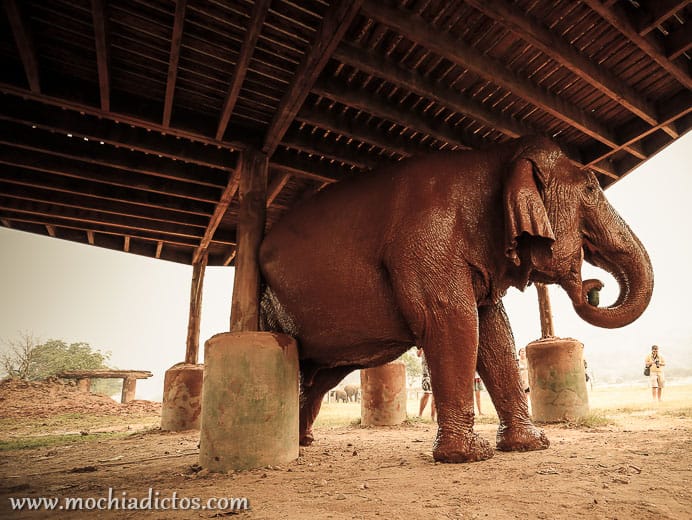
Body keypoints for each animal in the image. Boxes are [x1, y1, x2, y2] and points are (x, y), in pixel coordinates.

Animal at [259, 136, 653, 463]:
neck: (493, 157)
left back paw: (303, 442)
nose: (593, 289)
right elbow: (453, 320)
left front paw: (531, 445)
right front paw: (468, 455)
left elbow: (495, 331)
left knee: (320, 377)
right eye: (590, 187)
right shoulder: (424, 242)